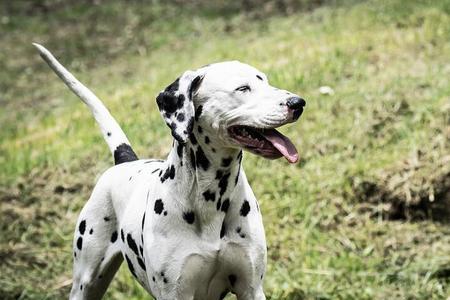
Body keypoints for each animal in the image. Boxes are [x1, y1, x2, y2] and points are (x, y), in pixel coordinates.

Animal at [32, 42, 306, 300]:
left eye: (266, 82)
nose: (298, 103)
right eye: (242, 88)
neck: (210, 199)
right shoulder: (175, 292)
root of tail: (124, 161)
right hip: (85, 282)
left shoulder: (251, 289)